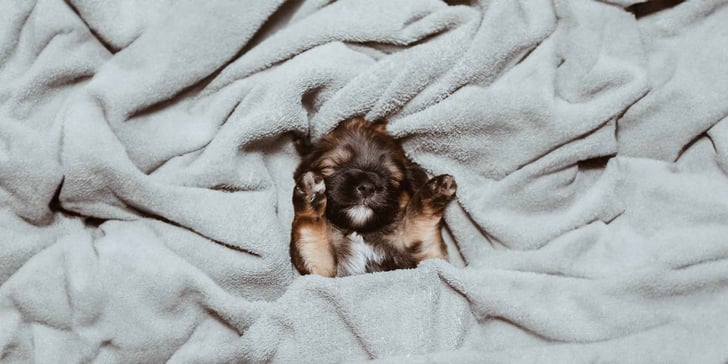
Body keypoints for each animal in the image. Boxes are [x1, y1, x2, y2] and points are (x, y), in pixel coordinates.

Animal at [288, 118, 456, 278]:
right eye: (332, 166)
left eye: (393, 178)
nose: (367, 187)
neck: (359, 233)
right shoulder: (321, 271)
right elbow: (309, 231)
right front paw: (310, 193)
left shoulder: (431, 258)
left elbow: (420, 225)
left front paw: (435, 190)